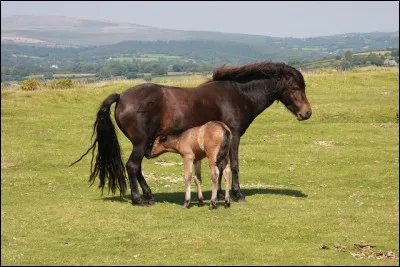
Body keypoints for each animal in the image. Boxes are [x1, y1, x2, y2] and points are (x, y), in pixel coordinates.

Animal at [71, 61, 312, 206]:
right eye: (295, 88)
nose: (307, 112)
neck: (238, 94)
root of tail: (121, 97)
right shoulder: (234, 136)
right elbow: (234, 166)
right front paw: (237, 194)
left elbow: (221, 167)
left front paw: (221, 195)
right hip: (141, 143)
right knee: (131, 166)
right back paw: (139, 199)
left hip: (143, 143)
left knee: (136, 168)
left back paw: (149, 195)